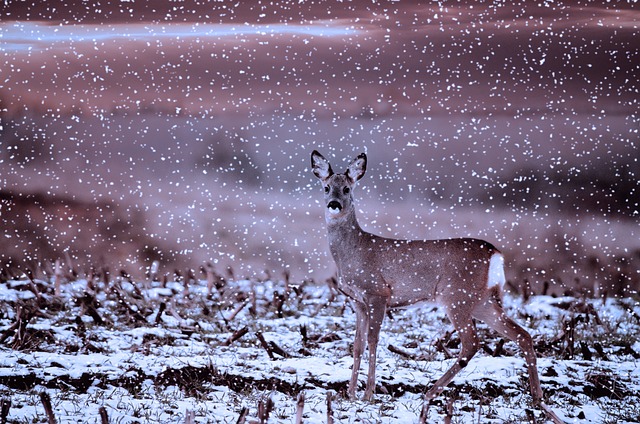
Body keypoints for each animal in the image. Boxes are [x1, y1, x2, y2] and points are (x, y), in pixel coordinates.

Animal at [311, 150, 564, 423]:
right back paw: (538, 398)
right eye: (326, 187)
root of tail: (495, 254)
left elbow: (373, 340)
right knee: (522, 334)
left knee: (472, 343)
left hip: (456, 296)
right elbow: (357, 345)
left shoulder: (378, 293)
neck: (354, 251)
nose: (333, 204)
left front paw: (368, 394)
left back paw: (431, 392)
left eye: (347, 189)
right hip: (482, 301)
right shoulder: (356, 300)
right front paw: (349, 393)